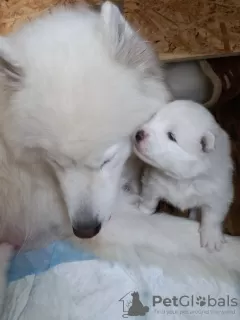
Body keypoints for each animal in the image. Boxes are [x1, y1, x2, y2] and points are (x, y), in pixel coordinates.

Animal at [133, 101, 232, 251]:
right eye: (153, 118)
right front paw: (143, 210)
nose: (138, 134)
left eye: (171, 136)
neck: (181, 179)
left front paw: (211, 238)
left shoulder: (218, 193)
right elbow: (150, 198)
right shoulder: (153, 181)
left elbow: (212, 215)